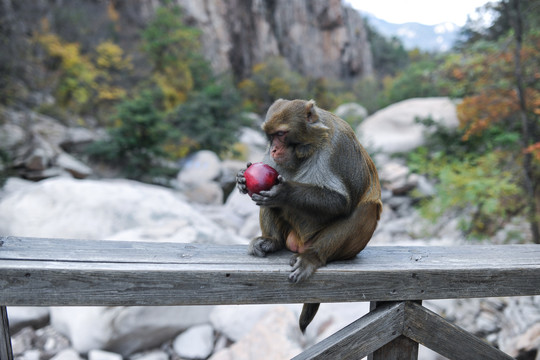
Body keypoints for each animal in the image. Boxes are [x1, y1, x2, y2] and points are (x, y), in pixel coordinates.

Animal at [237, 98, 384, 332]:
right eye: (270, 136)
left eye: (281, 134)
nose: (274, 149)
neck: (309, 146)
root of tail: (300, 243)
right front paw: (242, 179)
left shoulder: (337, 146)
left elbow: (342, 202)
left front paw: (284, 193)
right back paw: (272, 241)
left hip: (345, 248)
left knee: (366, 209)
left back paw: (313, 257)